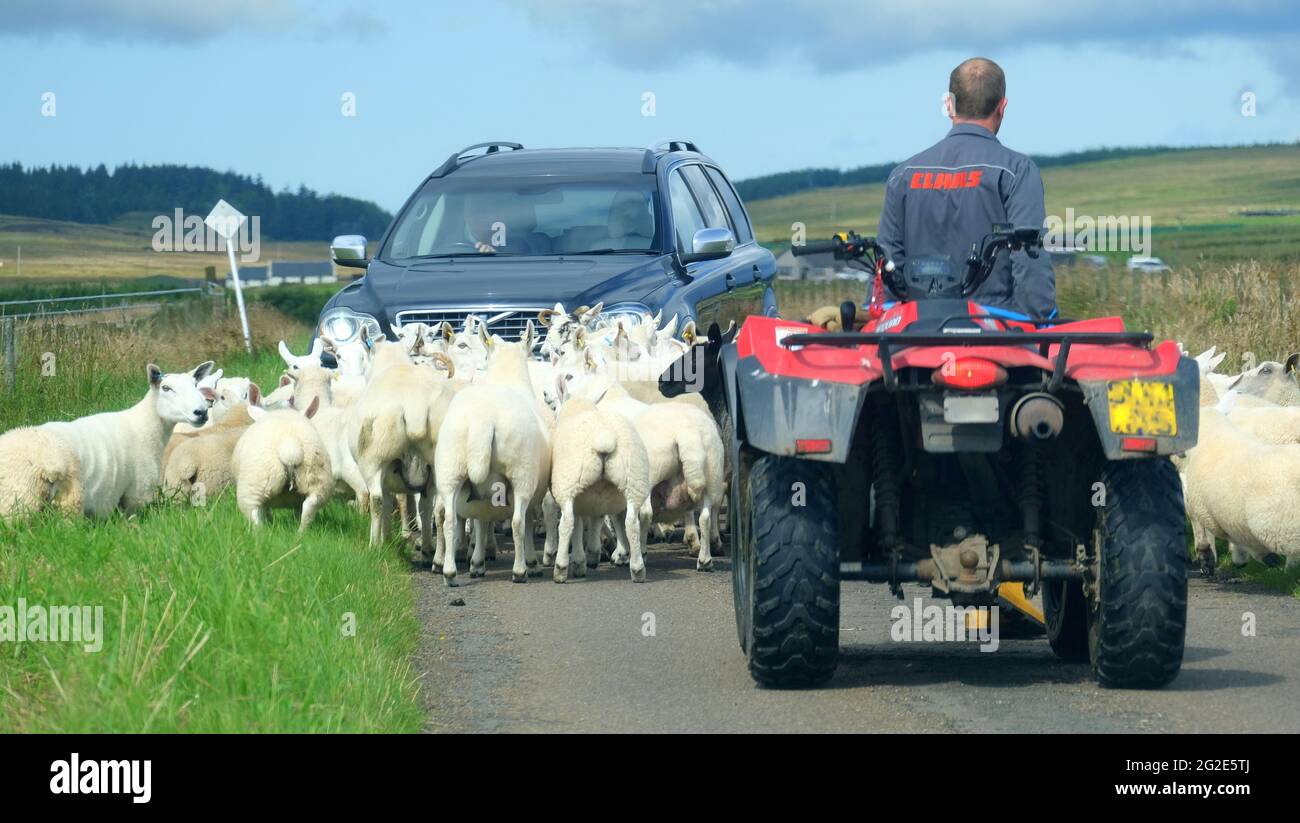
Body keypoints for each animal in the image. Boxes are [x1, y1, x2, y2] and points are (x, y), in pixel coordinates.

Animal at [233, 400, 335, 530]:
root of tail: (290, 447)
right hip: (317, 480)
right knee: (309, 507)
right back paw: (301, 532)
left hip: (253, 485)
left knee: (254, 515)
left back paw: (260, 532)